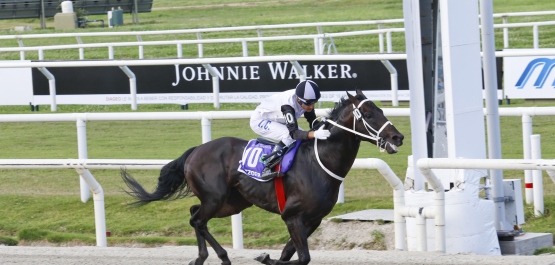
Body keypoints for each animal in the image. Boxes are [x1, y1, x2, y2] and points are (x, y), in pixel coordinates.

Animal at [121, 89, 404, 264]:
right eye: (368, 114)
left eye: (381, 110)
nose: (397, 137)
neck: (319, 161)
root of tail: (196, 150)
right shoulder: (292, 216)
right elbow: (302, 257)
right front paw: (266, 257)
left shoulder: (313, 220)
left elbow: (290, 254)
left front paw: (269, 258)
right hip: (216, 198)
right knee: (198, 220)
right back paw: (222, 257)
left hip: (232, 202)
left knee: (194, 213)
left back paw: (201, 257)